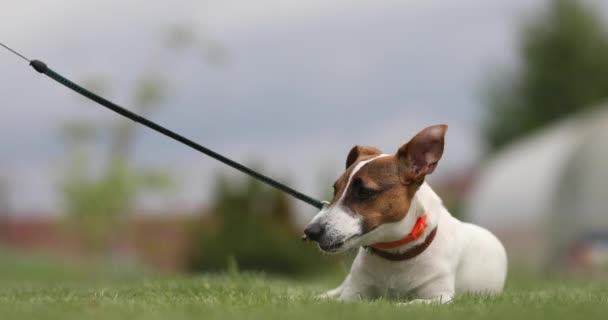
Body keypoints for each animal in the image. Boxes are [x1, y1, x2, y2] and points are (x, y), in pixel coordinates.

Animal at [304, 124, 508, 304]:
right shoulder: (353, 294)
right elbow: (342, 300)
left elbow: (410, 303)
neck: (395, 253)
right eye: (335, 189)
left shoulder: (440, 297)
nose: (310, 232)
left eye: (363, 191)